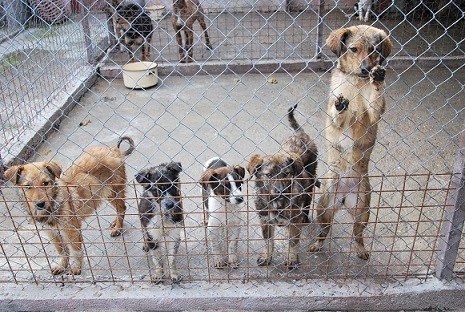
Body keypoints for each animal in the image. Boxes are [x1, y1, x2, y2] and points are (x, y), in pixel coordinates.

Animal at [246, 105, 320, 270]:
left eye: (286, 174)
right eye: (268, 175)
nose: (280, 191)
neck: (276, 203)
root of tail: (300, 134)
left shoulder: (293, 223)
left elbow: (293, 243)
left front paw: (292, 259)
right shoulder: (265, 220)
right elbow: (268, 241)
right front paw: (266, 257)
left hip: (311, 179)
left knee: (308, 200)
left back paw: (305, 217)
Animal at [308, 24, 392, 260]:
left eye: (373, 50)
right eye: (353, 49)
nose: (366, 69)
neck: (356, 82)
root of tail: (345, 196)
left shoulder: (374, 113)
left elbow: (376, 100)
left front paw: (378, 78)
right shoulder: (336, 119)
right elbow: (338, 115)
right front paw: (340, 106)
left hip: (363, 210)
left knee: (358, 235)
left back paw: (361, 250)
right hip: (323, 208)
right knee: (324, 232)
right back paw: (316, 245)